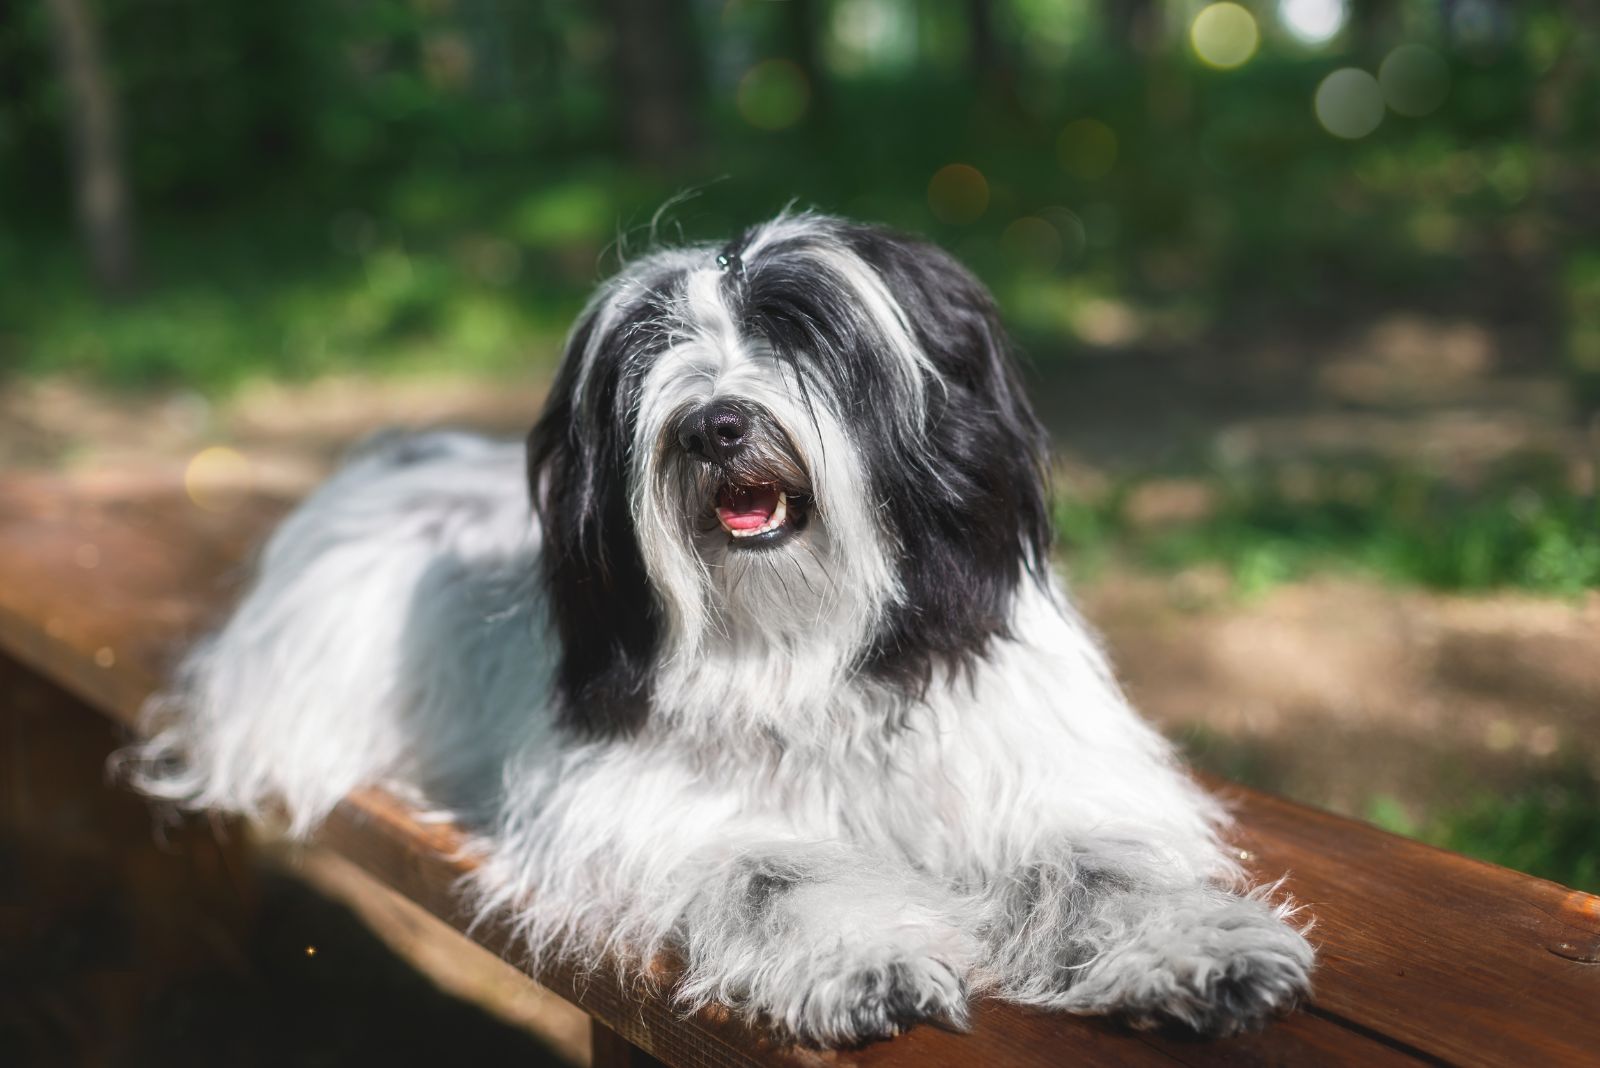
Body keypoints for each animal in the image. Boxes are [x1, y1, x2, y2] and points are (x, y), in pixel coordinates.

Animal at [128, 212, 1312, 1048]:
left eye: (803, 328)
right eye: (652, 350)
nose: (715, 423)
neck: (810, 644)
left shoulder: (1031, 767)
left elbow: (1100, 865)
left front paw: (1196, 949)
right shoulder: (635, 805)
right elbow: (771, 868)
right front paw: (865, 960)